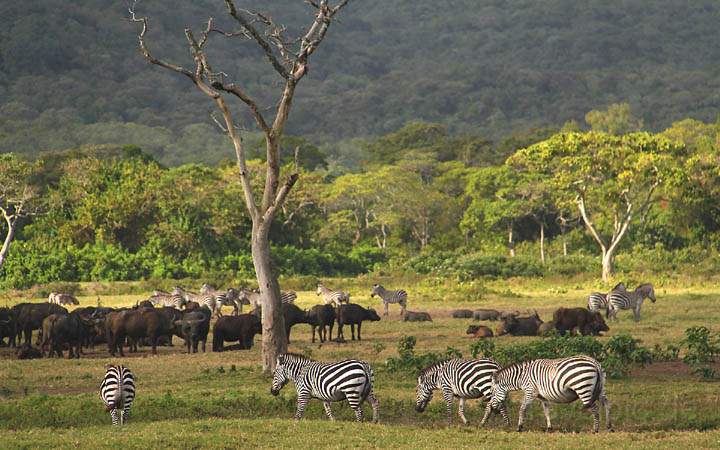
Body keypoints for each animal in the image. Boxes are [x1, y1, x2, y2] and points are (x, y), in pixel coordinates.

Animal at [480, 356, 612, 432]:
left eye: (492, 392)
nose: (493, 410)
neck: (521, 377)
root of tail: (595, 362)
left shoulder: (530, 392)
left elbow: (522, 409)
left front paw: (519, 427)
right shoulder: (542, 396)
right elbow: (546, 411)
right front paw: (549, 428)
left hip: (583, 388)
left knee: (594, 408)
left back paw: (595, 429)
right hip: (600, 389)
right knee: (606, 404)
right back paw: (609, 427)